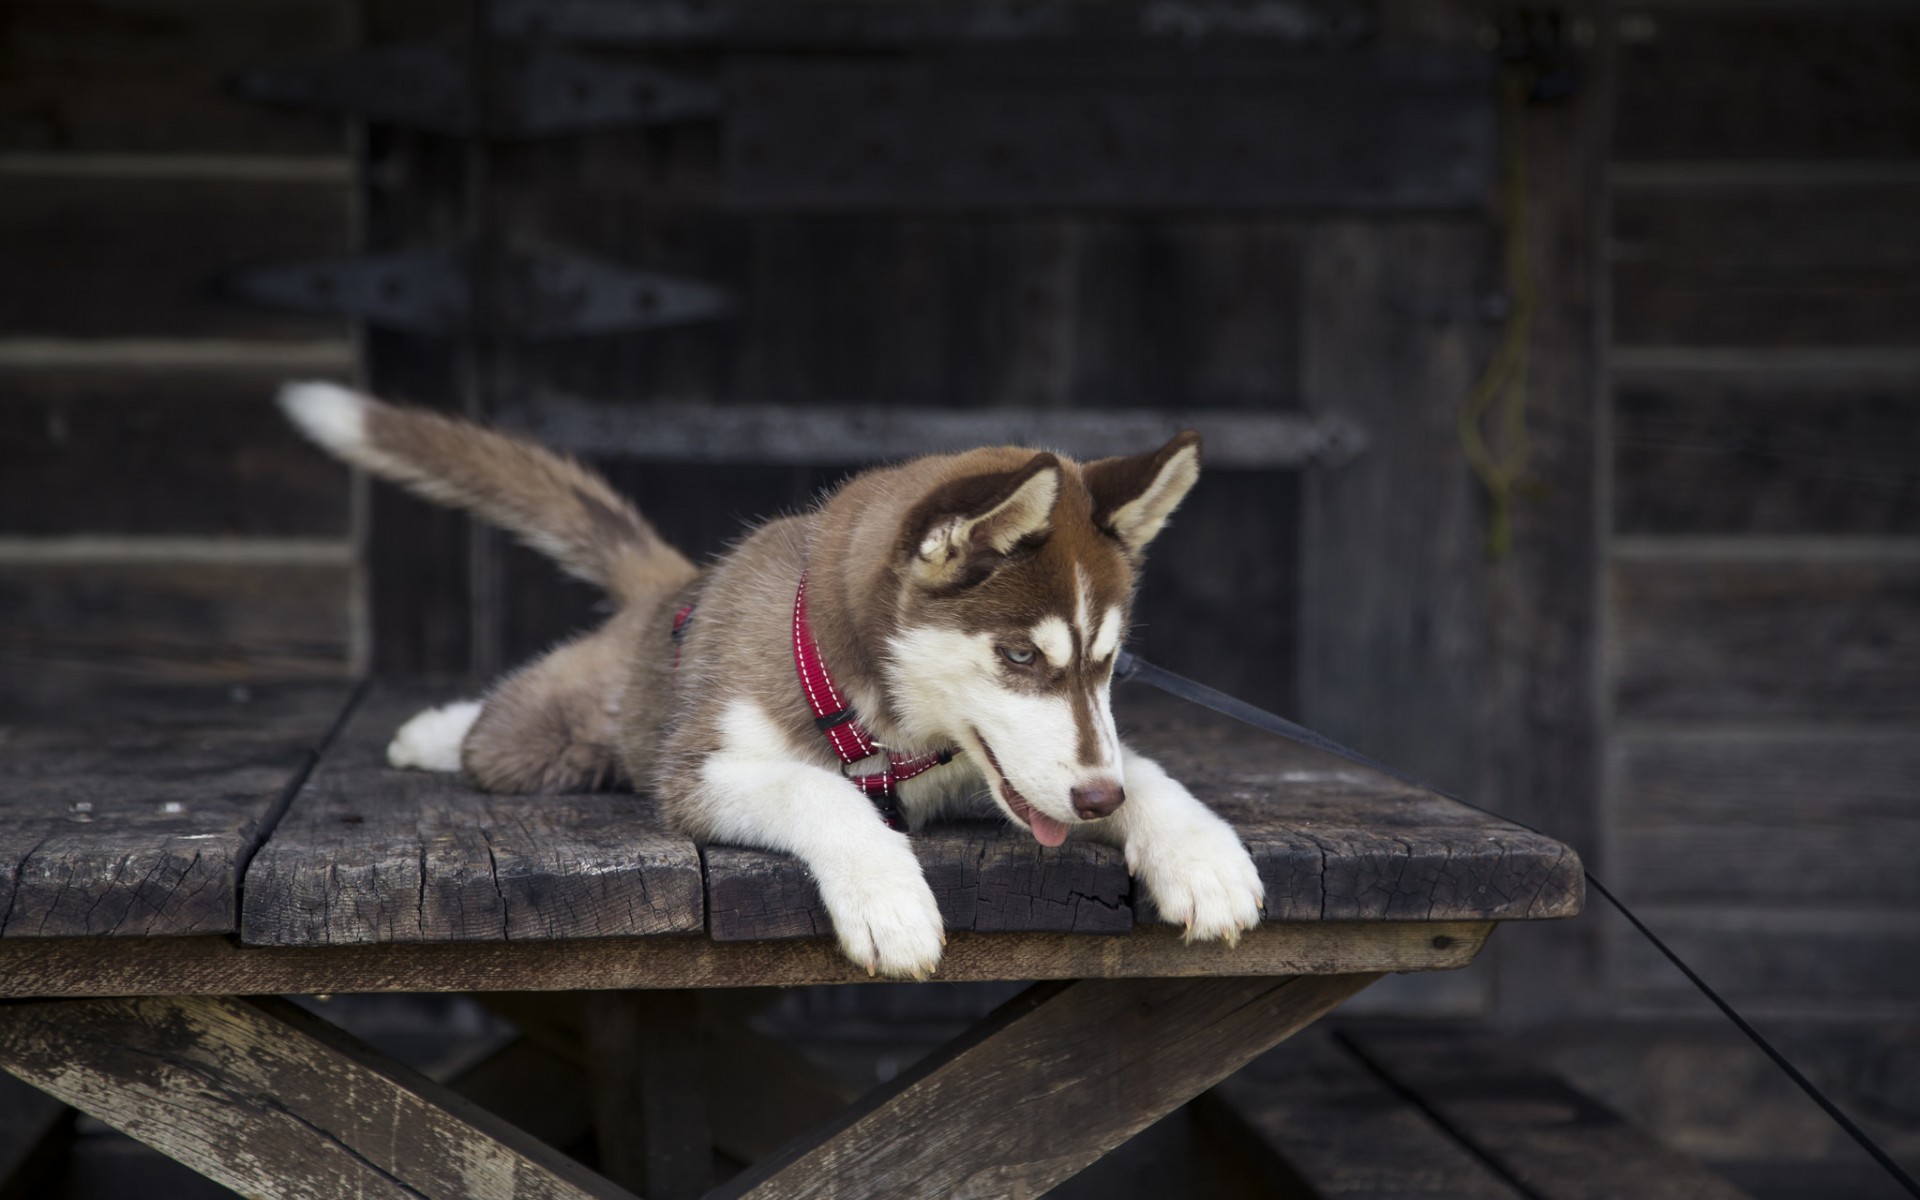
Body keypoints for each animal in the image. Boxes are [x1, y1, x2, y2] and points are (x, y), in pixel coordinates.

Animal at [278, 387, 1267, 979]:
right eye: (1021, 657)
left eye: (1107, 662)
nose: (1097, 802)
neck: (874, 716)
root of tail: (677, 587)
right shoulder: (700, 771)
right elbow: (819, 794)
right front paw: (887, 897)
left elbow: (1147, 771)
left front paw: (1200, 855)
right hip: (541, 741)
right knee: (507, 726)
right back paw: (437, 730)